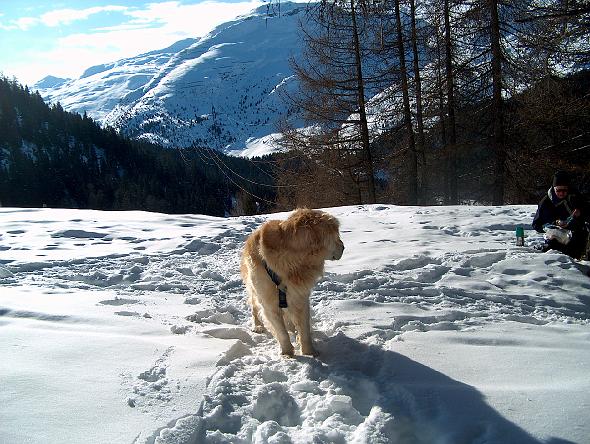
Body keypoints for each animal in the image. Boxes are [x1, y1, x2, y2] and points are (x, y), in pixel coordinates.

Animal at [240, 208, 344, 357]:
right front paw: (287, 353)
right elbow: (281, 332)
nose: (343, 247)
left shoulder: (300, 297)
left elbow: (304, 329)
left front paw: (309, 352)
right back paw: (258, 326)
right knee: (254, 307)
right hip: (255, 289)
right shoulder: (269, 304)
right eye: (335, 235)